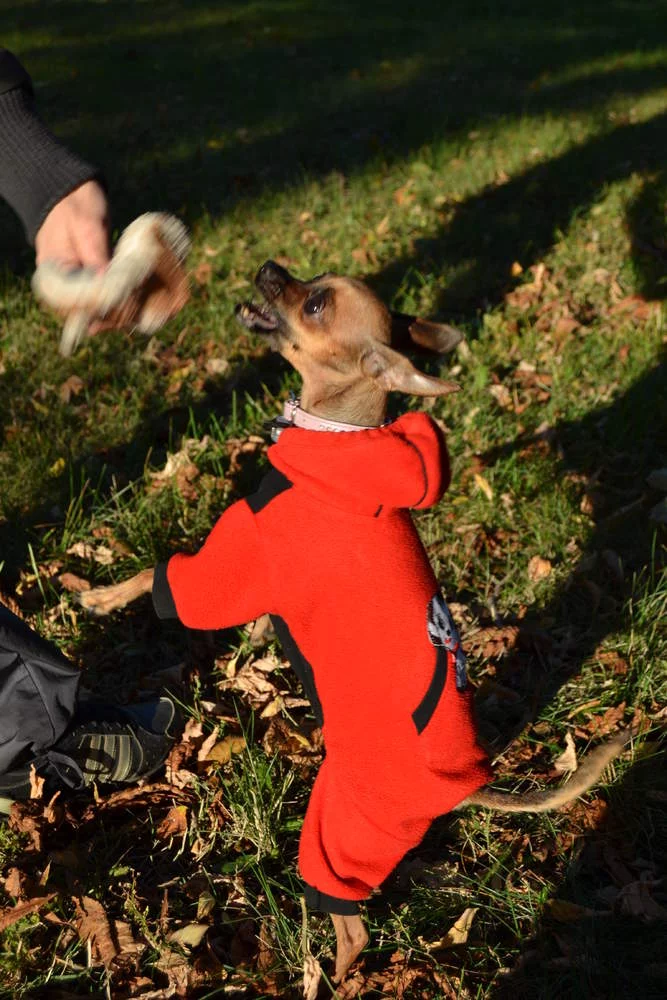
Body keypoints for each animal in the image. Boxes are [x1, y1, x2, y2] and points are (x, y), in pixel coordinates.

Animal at [80, 262, 630, 983]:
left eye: (314, 303)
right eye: (308, 280)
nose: (270, 269)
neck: (339, 433)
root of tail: (469, 788)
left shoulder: (230, 566)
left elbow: (157, 577)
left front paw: (99, 597)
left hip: (336, 832)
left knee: (352, 925)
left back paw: (326, 976)